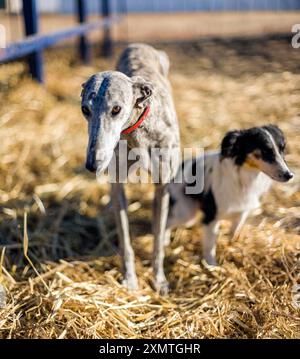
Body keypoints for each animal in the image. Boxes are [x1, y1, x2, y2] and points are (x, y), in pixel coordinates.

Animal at [168, 125, 294, 266]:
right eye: (266, 151)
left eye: (282, 149)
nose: (289, 175)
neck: (244, 177)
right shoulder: (211, 216)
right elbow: (210, 245)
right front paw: (212, 266)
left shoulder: (241, 212)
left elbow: (233, 233)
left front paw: (232, 249)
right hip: (185, 212)